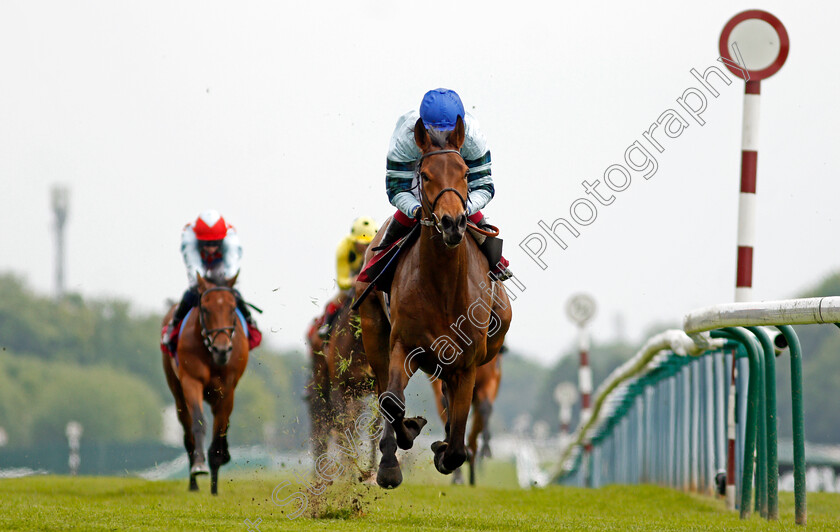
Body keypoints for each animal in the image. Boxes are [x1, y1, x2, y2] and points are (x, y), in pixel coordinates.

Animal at [160, 274, 246, 494]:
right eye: (205, 309)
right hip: (177, 392)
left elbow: (221, 427)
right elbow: (199, 422)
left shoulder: (228, 388)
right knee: (187, 432)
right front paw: (199, 466)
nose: (222, 349)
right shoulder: (192, 381)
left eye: (233, 308)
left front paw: (215, 485)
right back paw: (193, 483)